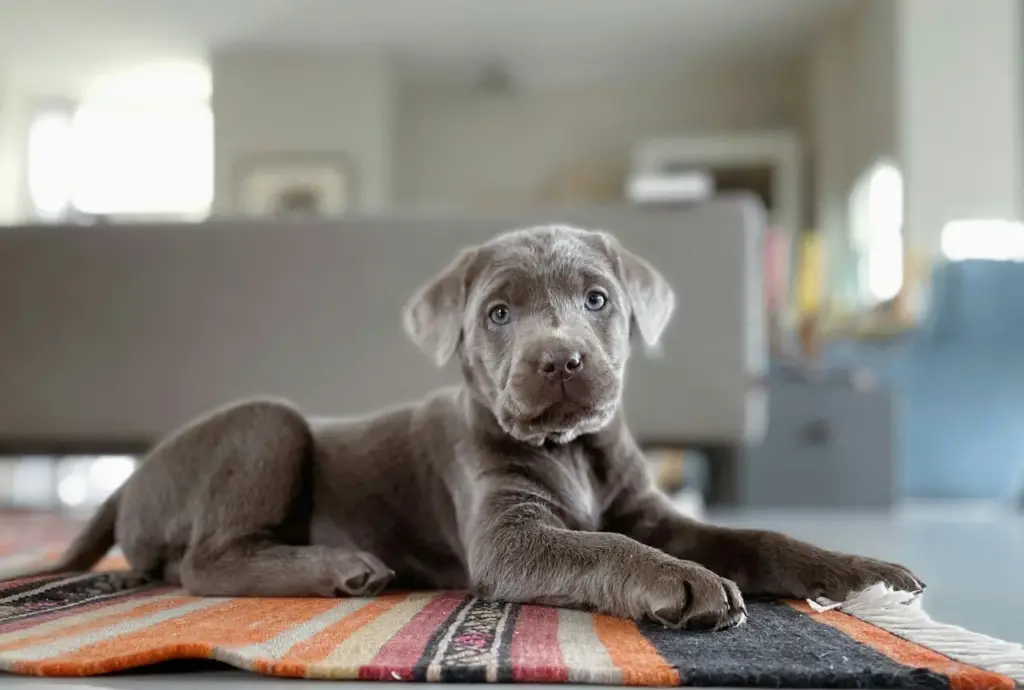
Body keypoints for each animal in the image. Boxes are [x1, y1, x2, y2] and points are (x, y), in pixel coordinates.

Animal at [46, 224, 921, 630]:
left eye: (597, 299)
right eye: (498, 314)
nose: (560, 359)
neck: (575, 451)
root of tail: (130, 480)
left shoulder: (653, 510)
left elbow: (762, 538)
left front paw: (866, 574)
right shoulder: (510, 536)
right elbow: (605, 546)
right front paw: (684, 581)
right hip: (268, 423)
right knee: (206, 563)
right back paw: (343, 567)